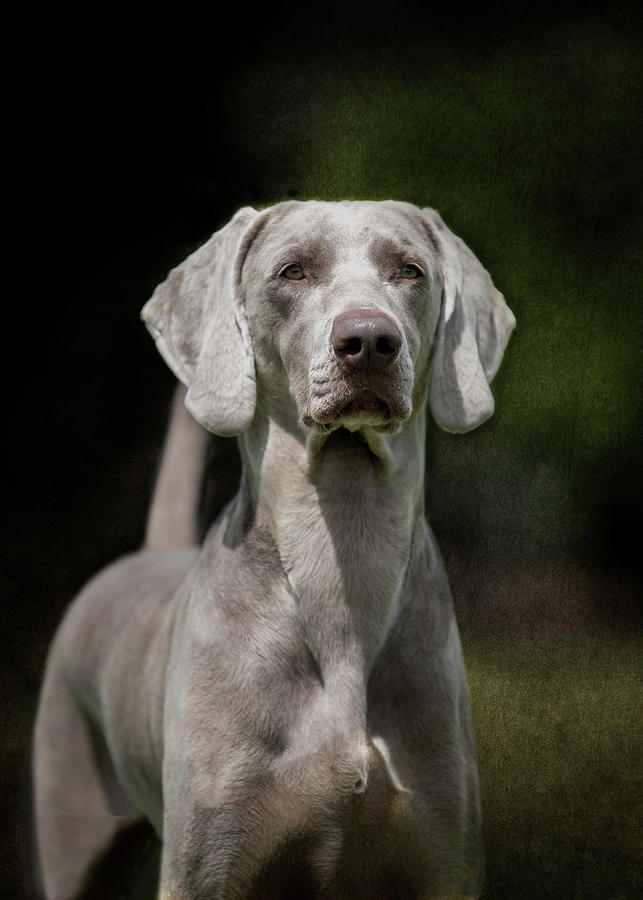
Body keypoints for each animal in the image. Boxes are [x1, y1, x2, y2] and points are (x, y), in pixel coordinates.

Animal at [31, 200, 520, 896]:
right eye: (292, 271)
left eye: (410, 270)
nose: (369, 341)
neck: (341, 557)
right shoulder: (207, 866)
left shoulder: (445, 863)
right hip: (71, 819)